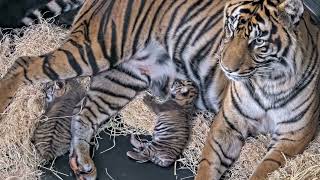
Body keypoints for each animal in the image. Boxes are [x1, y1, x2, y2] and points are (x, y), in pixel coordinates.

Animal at [0, 0, 318, 180]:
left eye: (257, 42)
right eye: (228, 30)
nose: (226, 67)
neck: (269, 81)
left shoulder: (294, 138)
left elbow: (264, 168)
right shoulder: (228, 123)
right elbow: (209, 164)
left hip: (123, 78)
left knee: (83, 114)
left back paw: (83, 164)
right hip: (92, 50)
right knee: (23, 62)